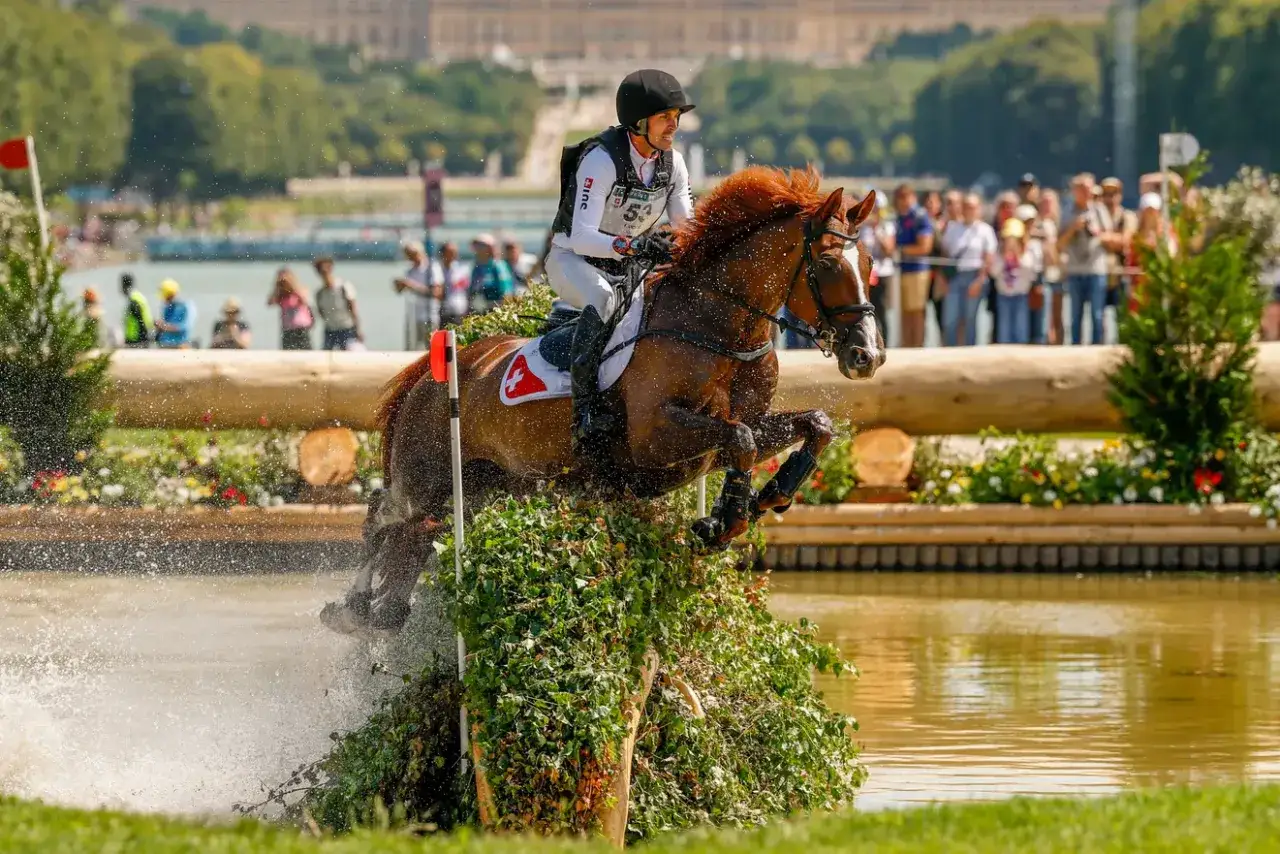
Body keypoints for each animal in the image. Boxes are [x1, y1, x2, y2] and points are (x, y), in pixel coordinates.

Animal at [321, 166, 885, 636]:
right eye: (829, 264)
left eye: (870, 263)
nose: (868, 355)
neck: (717, 327)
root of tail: (435, 371)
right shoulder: (656, 436)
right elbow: (742, 438)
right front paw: (725, 519)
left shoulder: (722, 436)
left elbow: (813, 425)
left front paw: (765, 497)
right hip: (425, 475)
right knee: (380, 513)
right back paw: (349, 607)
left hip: (483, 487)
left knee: (416, 539)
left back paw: (382, 614)